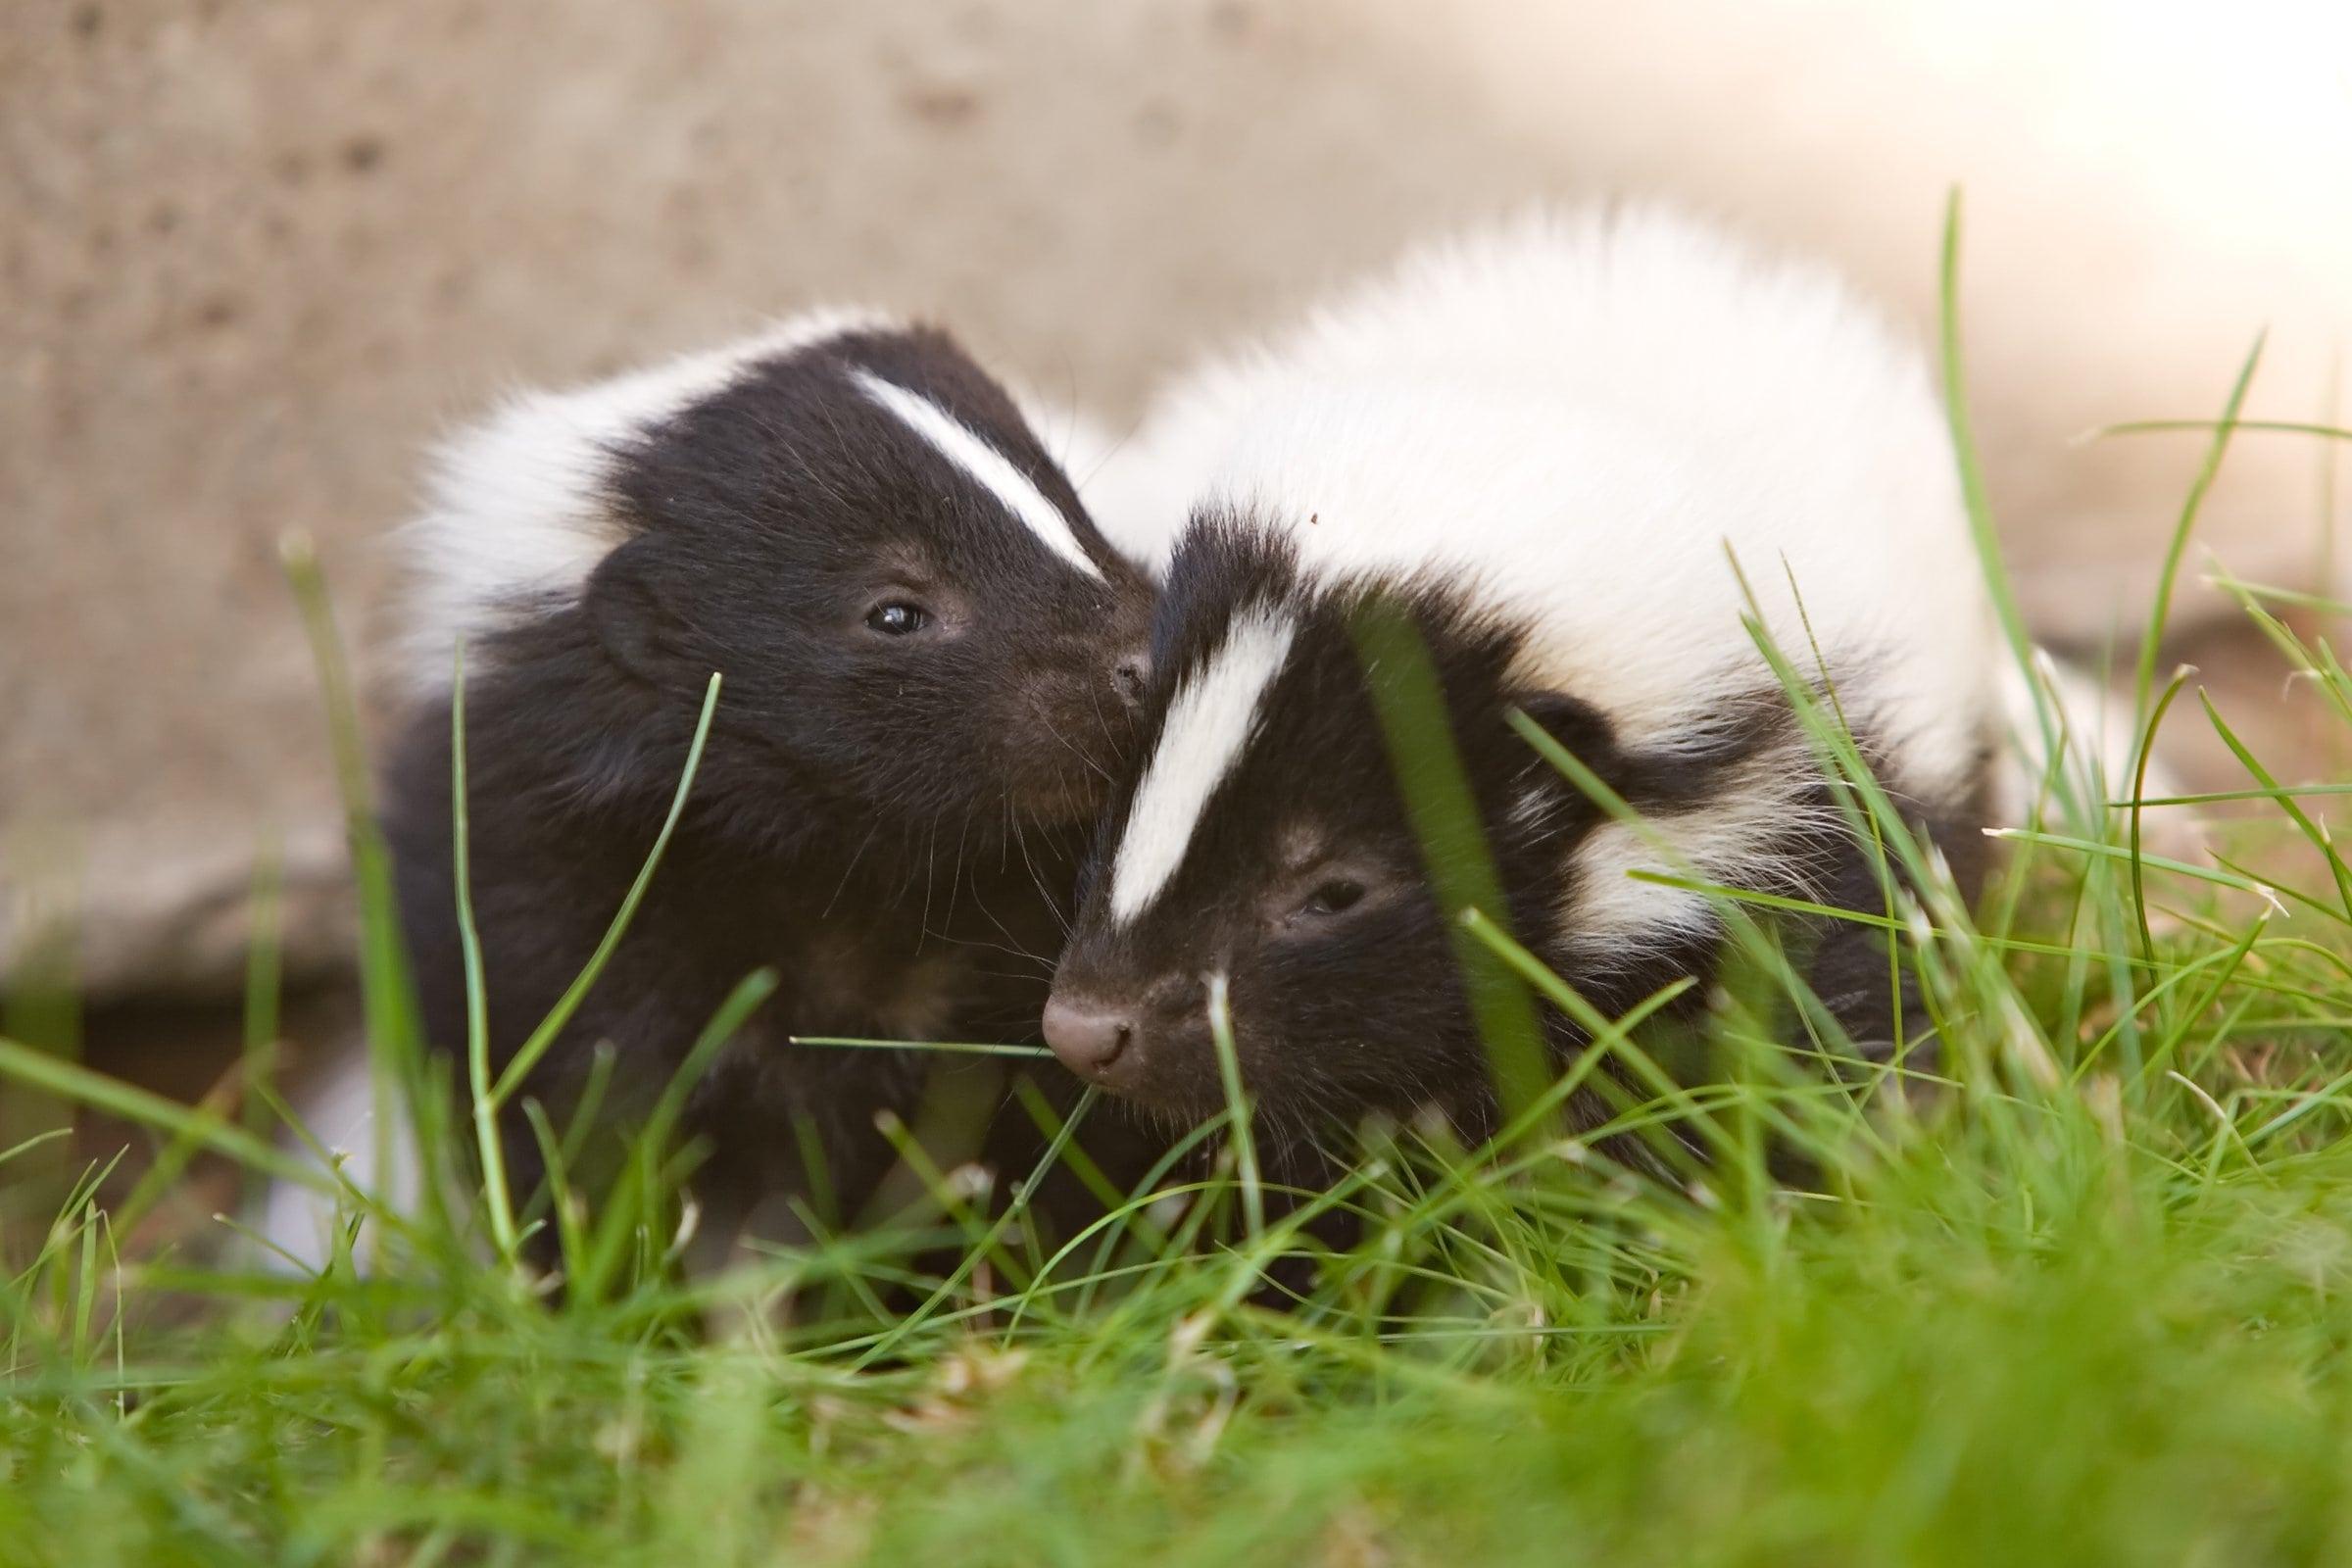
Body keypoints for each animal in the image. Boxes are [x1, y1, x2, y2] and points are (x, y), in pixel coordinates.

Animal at [272, 313, 1156, 1269]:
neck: (844, 876)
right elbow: (578, 1128)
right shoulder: (537, 904)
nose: (1141, 660)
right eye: (894, 611)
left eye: (1077, 517)